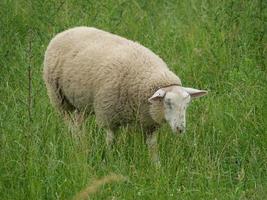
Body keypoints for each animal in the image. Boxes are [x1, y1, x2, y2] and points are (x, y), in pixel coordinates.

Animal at [43, 26, 208, 164]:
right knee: (69, 123)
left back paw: (82, 141)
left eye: (187, 105)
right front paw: (110, 161)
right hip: (59, 97)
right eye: (167, 102)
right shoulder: (108, 115)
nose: (180, 129)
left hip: (82, 103)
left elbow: (152, 146)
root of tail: (68, 30)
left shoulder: (149, 124)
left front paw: (156, 166)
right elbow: (110, 140)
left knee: (78, 122)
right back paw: (76, 142)